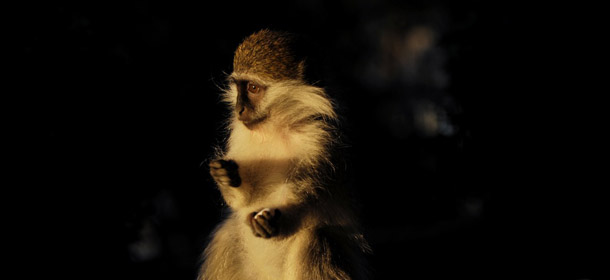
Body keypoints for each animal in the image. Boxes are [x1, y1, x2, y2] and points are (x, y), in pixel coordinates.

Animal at [200, 29, 370, 278]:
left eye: (253, 88)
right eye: (239, 87)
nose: (239, 109)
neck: (276, 128)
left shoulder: (320, 139)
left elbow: (308, 191)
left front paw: (274, 218)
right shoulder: (240, 134)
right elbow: (243, 201)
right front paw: (226, 177)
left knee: (315, 238)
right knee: (227, 235)